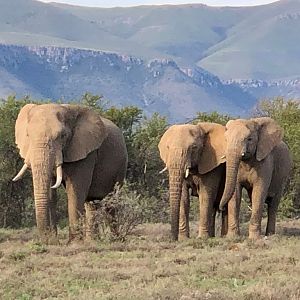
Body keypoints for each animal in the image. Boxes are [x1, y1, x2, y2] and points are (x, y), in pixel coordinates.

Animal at [12, 104, 127, 243]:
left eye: (62, 136)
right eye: (28, 135)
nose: (45, 240)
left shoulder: (85, 152)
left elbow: (75, 191)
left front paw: (73, 243)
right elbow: (50, 194)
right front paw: (53, 241)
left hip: (121, 165)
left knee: (112, 203)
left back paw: (115, 239)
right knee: (92, 203)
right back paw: (92, 241)